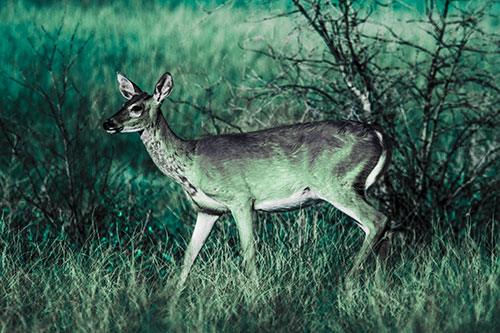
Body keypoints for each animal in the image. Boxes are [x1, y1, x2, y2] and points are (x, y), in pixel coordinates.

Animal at [103, 70, 392, 286]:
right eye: (123, 103)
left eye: (137, 107)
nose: (107, 123)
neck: (190, 163)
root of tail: (379, 136)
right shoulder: (207, 210)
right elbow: (188, 258)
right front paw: (170, 303)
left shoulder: (240, 197)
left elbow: (248, 253)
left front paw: (254, 296)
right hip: (352, 187)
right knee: (381, 229)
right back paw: (377, 290)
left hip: (337, 184)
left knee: (378, 220)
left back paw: (347, 281)